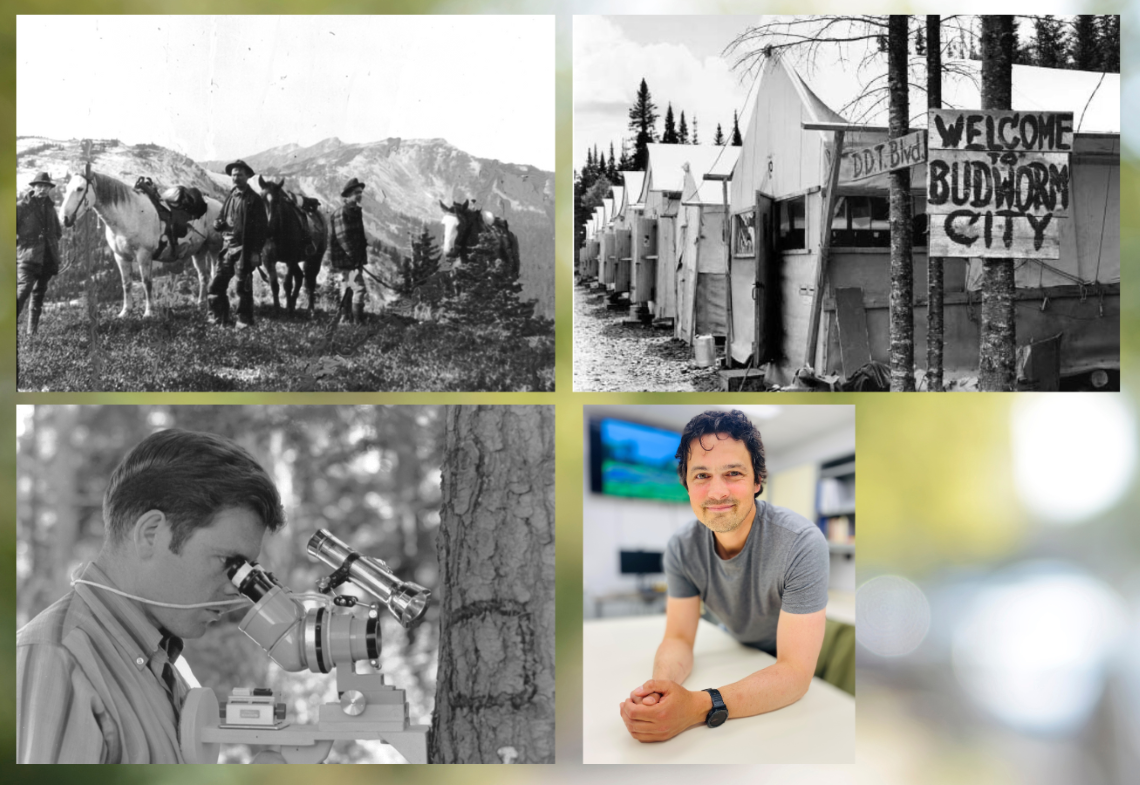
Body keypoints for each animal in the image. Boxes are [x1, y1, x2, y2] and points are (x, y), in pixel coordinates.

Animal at [60, 172, 222, 319]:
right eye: (66, 189)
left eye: (80, 188)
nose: (64, 219)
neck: (128, 215)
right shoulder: (121, 257)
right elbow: (126, 284)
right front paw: (125, 311)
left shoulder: (144, 255)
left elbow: (147, 283)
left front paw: (148, 312)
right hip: (199, 251)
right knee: (203, 276)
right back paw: (201, 303)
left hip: (214, 248)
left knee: (214, 274)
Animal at [257, 176, 326, 314]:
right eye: (261, 198)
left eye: (277, 201)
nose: (267, 229)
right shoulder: (268, 260)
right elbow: (274, 284)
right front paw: (277, 308)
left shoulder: (290, 259)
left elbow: (287, 284)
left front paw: (288, 308)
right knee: (299, 277)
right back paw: (293, 303)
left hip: (315, 258)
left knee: (311, 281)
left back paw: (310, 309)